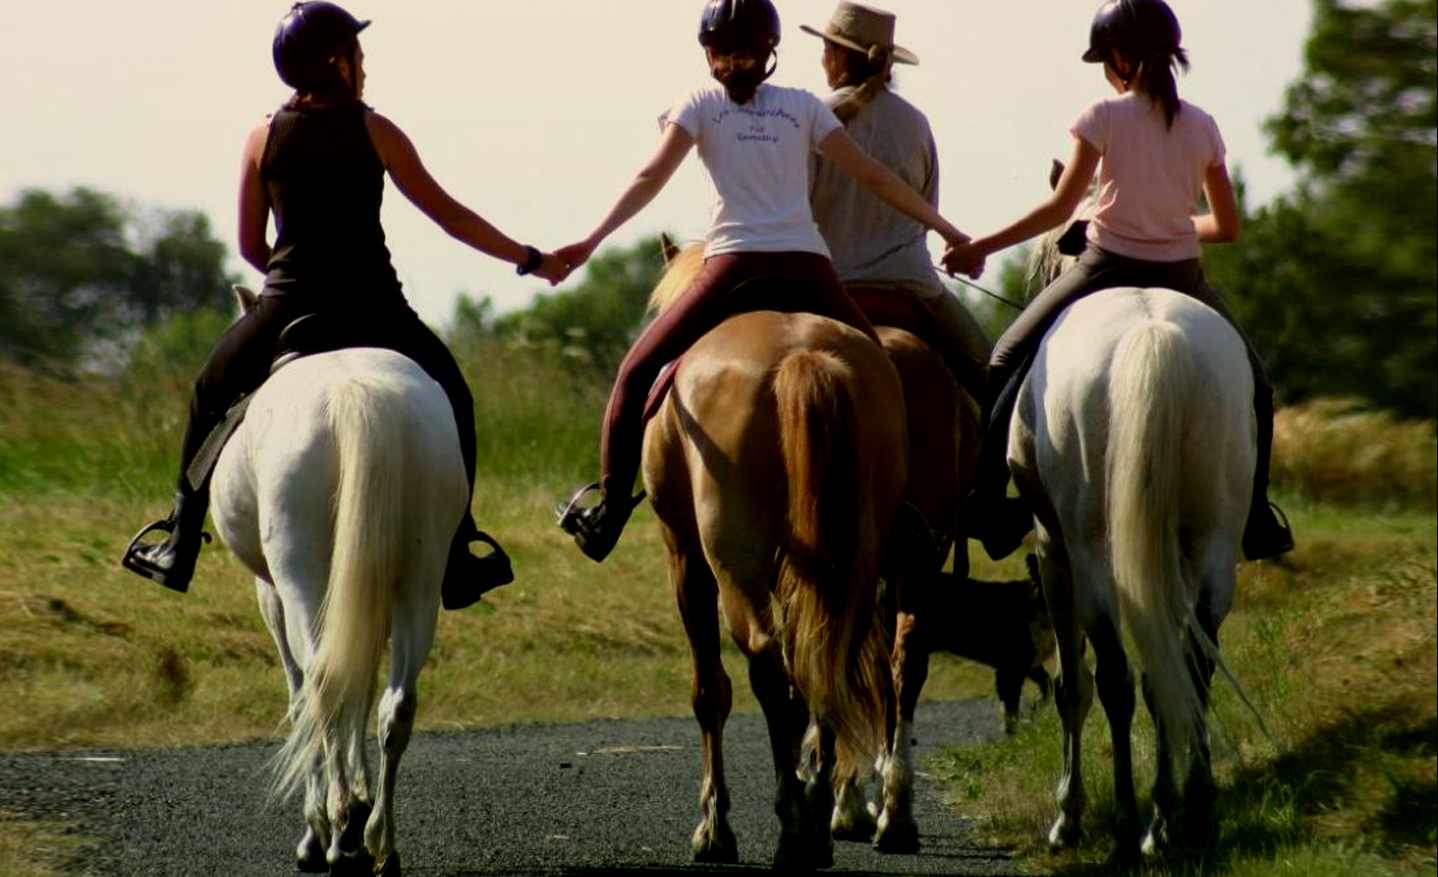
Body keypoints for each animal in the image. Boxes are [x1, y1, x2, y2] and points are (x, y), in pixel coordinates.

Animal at [209, 290, 465, 868]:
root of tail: (355, 397)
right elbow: (363, 684)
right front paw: (362, 797)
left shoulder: (272, 595)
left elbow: (302, 694)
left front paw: (319, 825)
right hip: (418, 579)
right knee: (395, 703)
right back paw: (380, 842)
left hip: (299, 575)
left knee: (321, 685)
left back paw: (340, 832)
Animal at [644, 240, 903, 868]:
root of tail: (801, 358)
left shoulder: (685, 560)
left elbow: (709, 691)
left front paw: (714, 828)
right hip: (855, 559)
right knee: (826, 655)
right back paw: (820, 808)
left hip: (732, 562)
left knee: (768, 664)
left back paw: (793, 822)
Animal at [1012, 278, 1259, 851]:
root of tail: (1152, 333)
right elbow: (1167, 673)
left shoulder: (1052, 551)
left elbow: (1073, 685)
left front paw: (1069, 814)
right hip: (1213, 543)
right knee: (1189, 666)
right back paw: (1190, 810)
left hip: (1088, 551)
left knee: (1114, 679)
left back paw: (1128, 821)